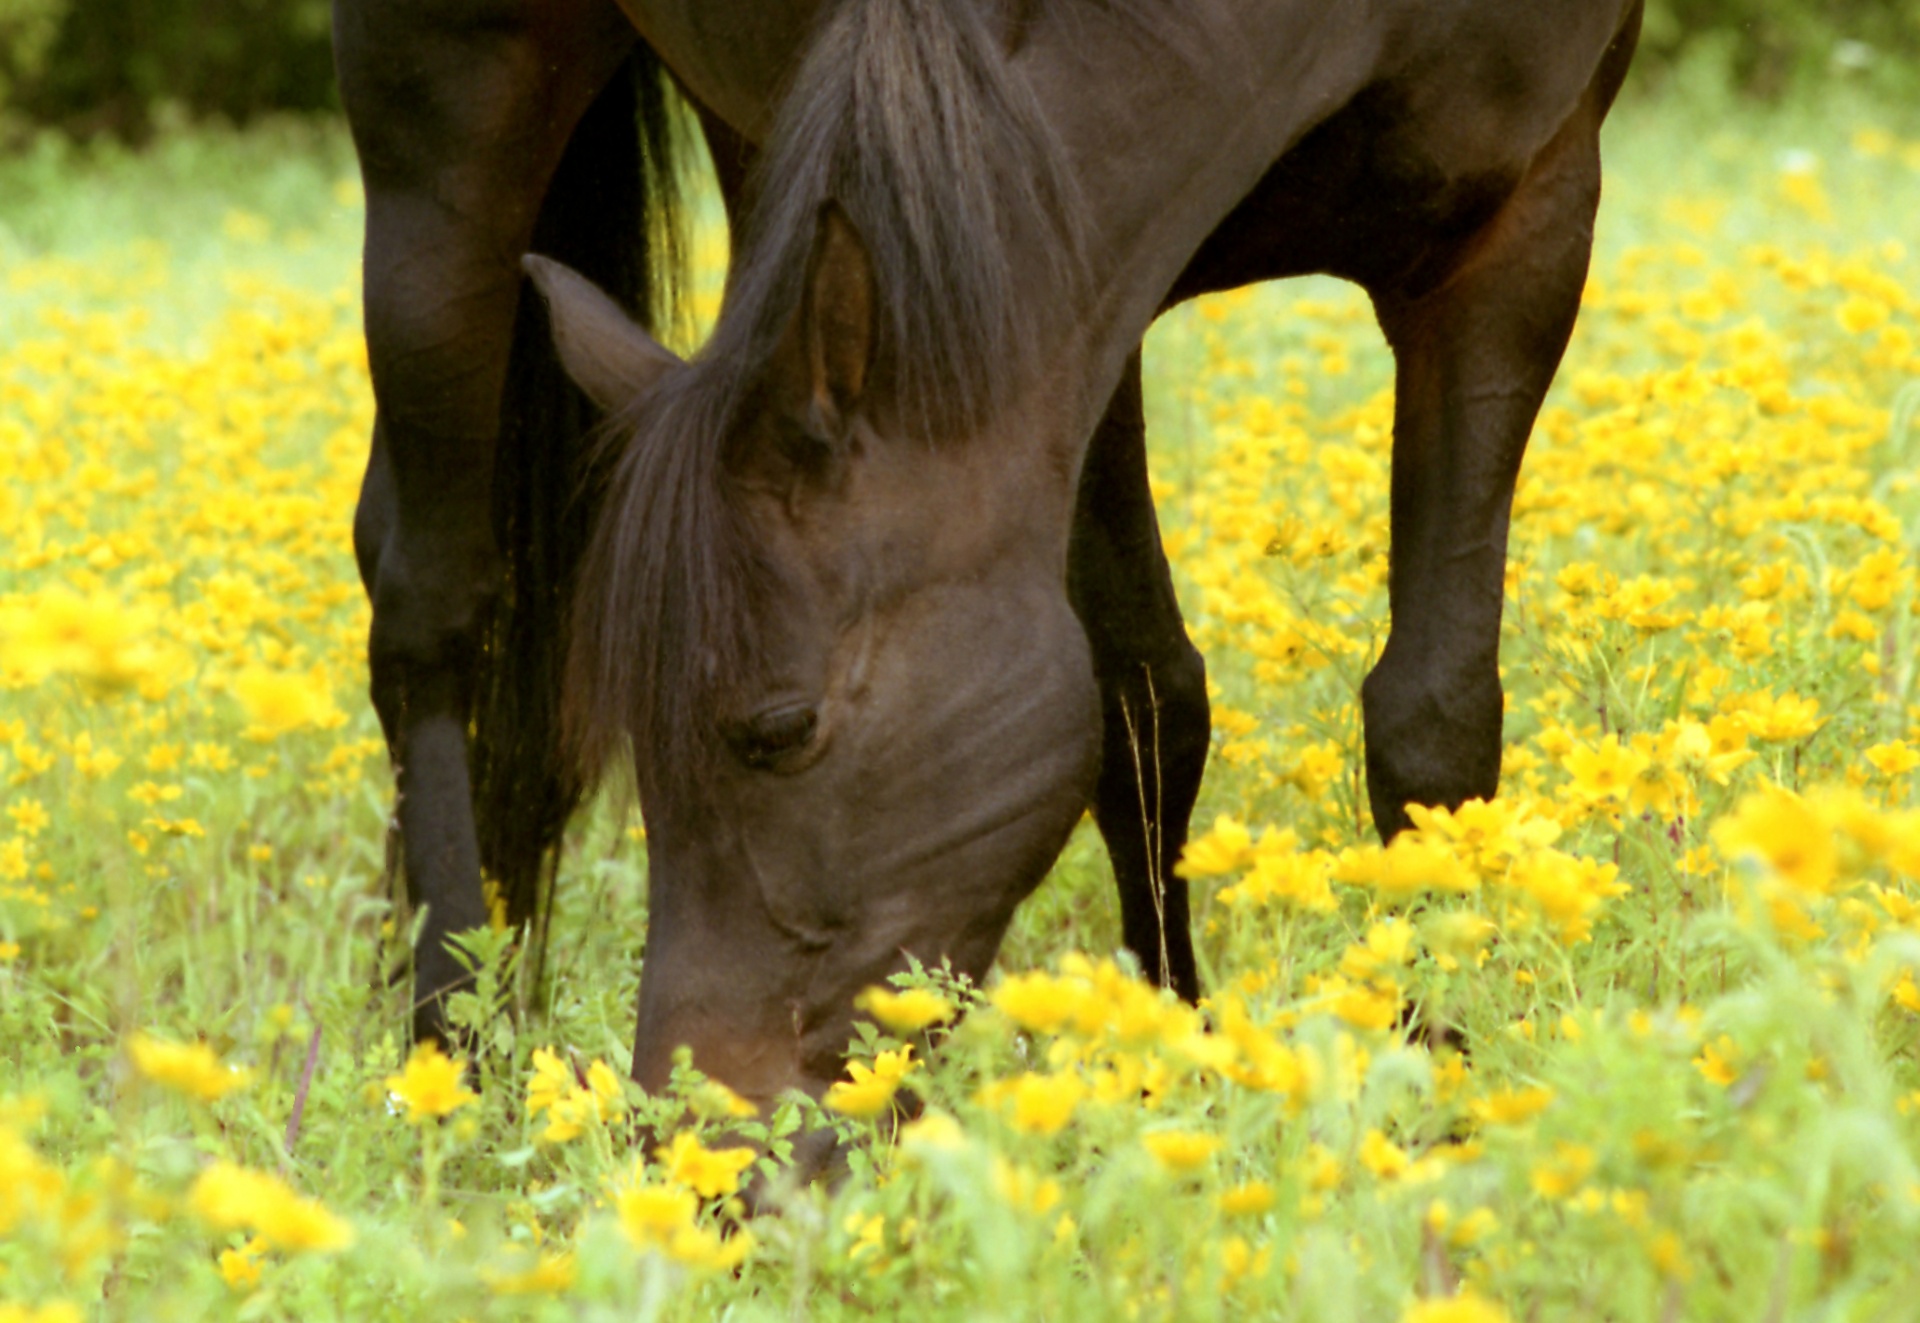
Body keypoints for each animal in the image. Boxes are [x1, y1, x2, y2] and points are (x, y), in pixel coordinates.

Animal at [337, 0, 1643, 1136]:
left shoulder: (1524, 223)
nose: (702, 1146)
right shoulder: (1067, 298)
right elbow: (1144, 699)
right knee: (429, 600)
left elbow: (1432, 721)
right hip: (446, 108)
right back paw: (448, 1049)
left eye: (779, 728)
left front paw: (1448, 1075)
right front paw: (1165, 1060)